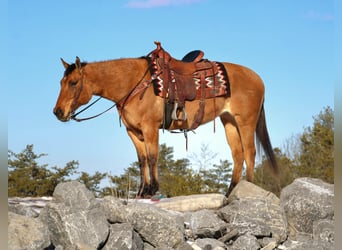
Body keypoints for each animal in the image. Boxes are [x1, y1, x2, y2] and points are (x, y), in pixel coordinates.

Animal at [53, 41, 278, 197]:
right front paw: (142, 191)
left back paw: (247, 189)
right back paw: (231, 192)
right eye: (61, 82)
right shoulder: (133, 131)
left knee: (250, 152)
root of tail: (258, 79)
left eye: (73, 83)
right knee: (238, 154)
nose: (58, 112)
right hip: (228, 121)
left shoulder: (150, 127)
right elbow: (142, 159)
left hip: (246, 122)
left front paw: (152, 189)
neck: (134, 83)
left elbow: (153, 156)